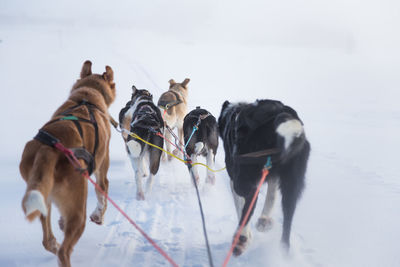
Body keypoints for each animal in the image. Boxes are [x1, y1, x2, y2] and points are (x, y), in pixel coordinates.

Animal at [19, 60, 115, 267]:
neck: (87, 98)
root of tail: (49, 149)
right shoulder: (102, 170)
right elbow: (102, 195)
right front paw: (98, 216)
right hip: (78, 211)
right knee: (64, 251)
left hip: (43, 198)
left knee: (48, 241)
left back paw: (54, 242)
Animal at [219, 99, 310, 256]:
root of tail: (280, 113)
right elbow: (271, 196)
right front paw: (265, 220)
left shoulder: (234, 180)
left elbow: (241, 207)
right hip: (291, 185)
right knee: (287, 221)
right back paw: (283, 251)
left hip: (244, 180)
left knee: (249, 204)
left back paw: (241, 238)